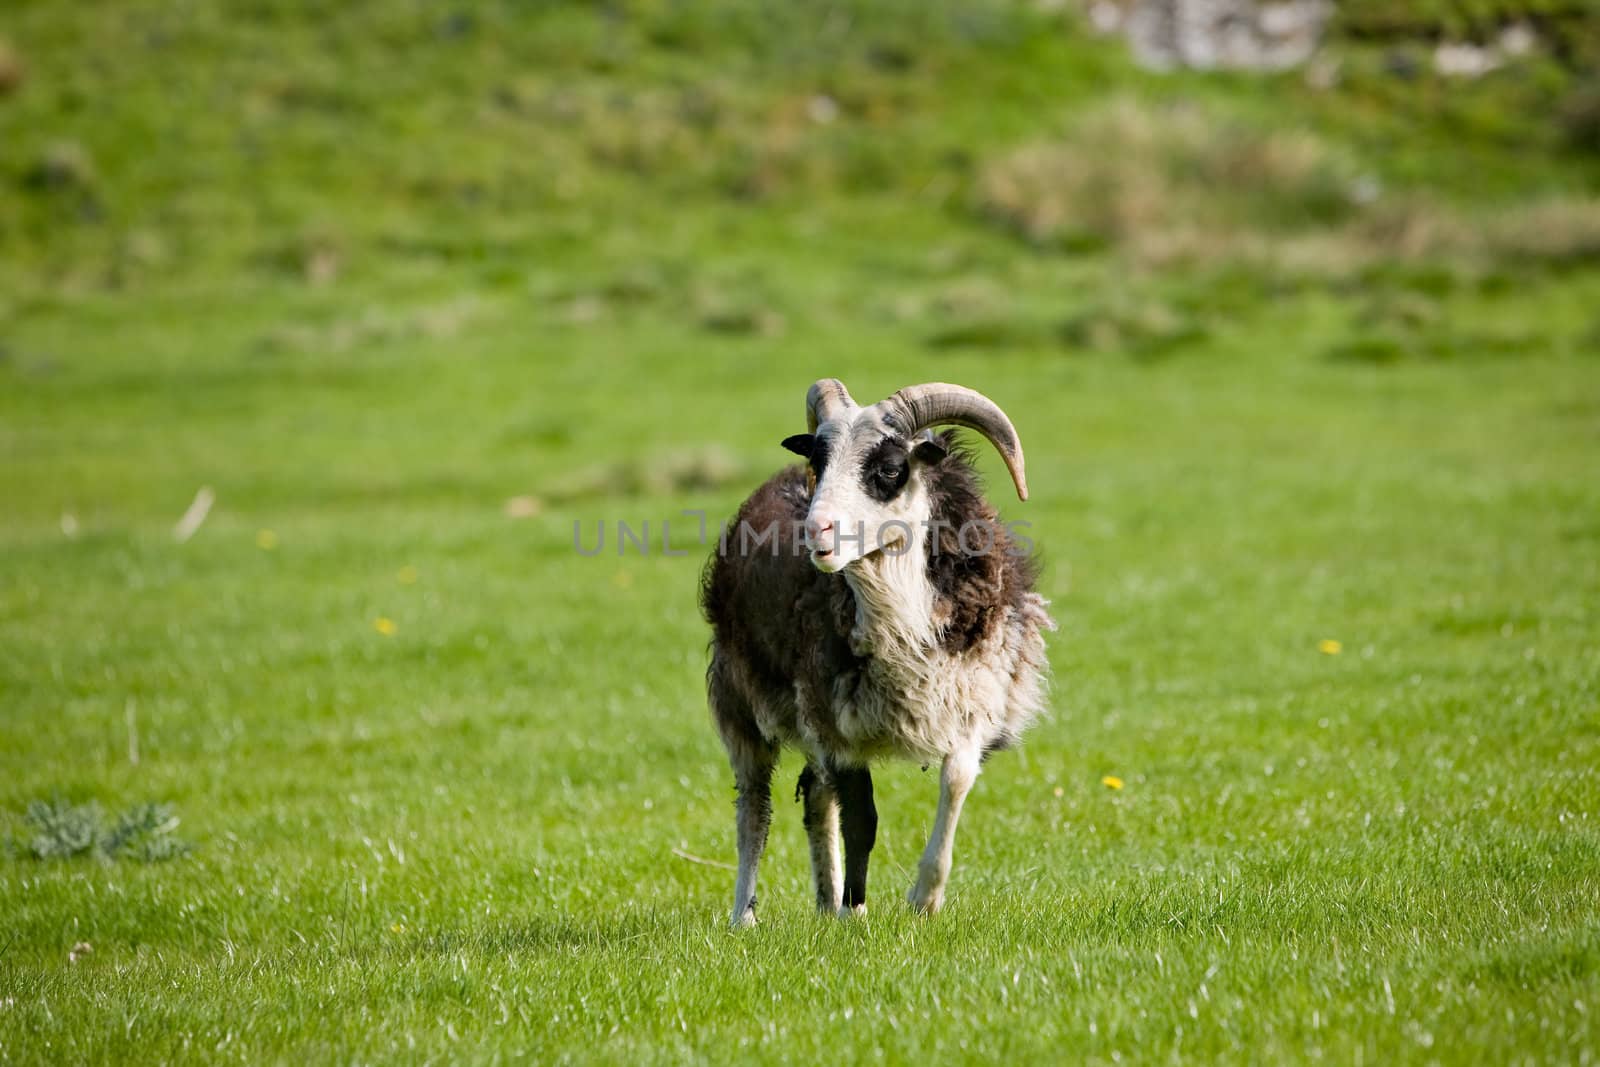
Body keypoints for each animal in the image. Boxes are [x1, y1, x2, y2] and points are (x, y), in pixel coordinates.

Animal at [697, 382, 1049, 927]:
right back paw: (745, 915)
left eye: (888, 468)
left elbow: (955, 782)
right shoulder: (837, 723)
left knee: (816, 797)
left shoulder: (971, 704)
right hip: (740, 700)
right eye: (818, 460)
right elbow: (863, 819)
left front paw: (924, 899)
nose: (816, 531)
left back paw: (825, 903)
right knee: (755, 805)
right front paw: (855, 911)